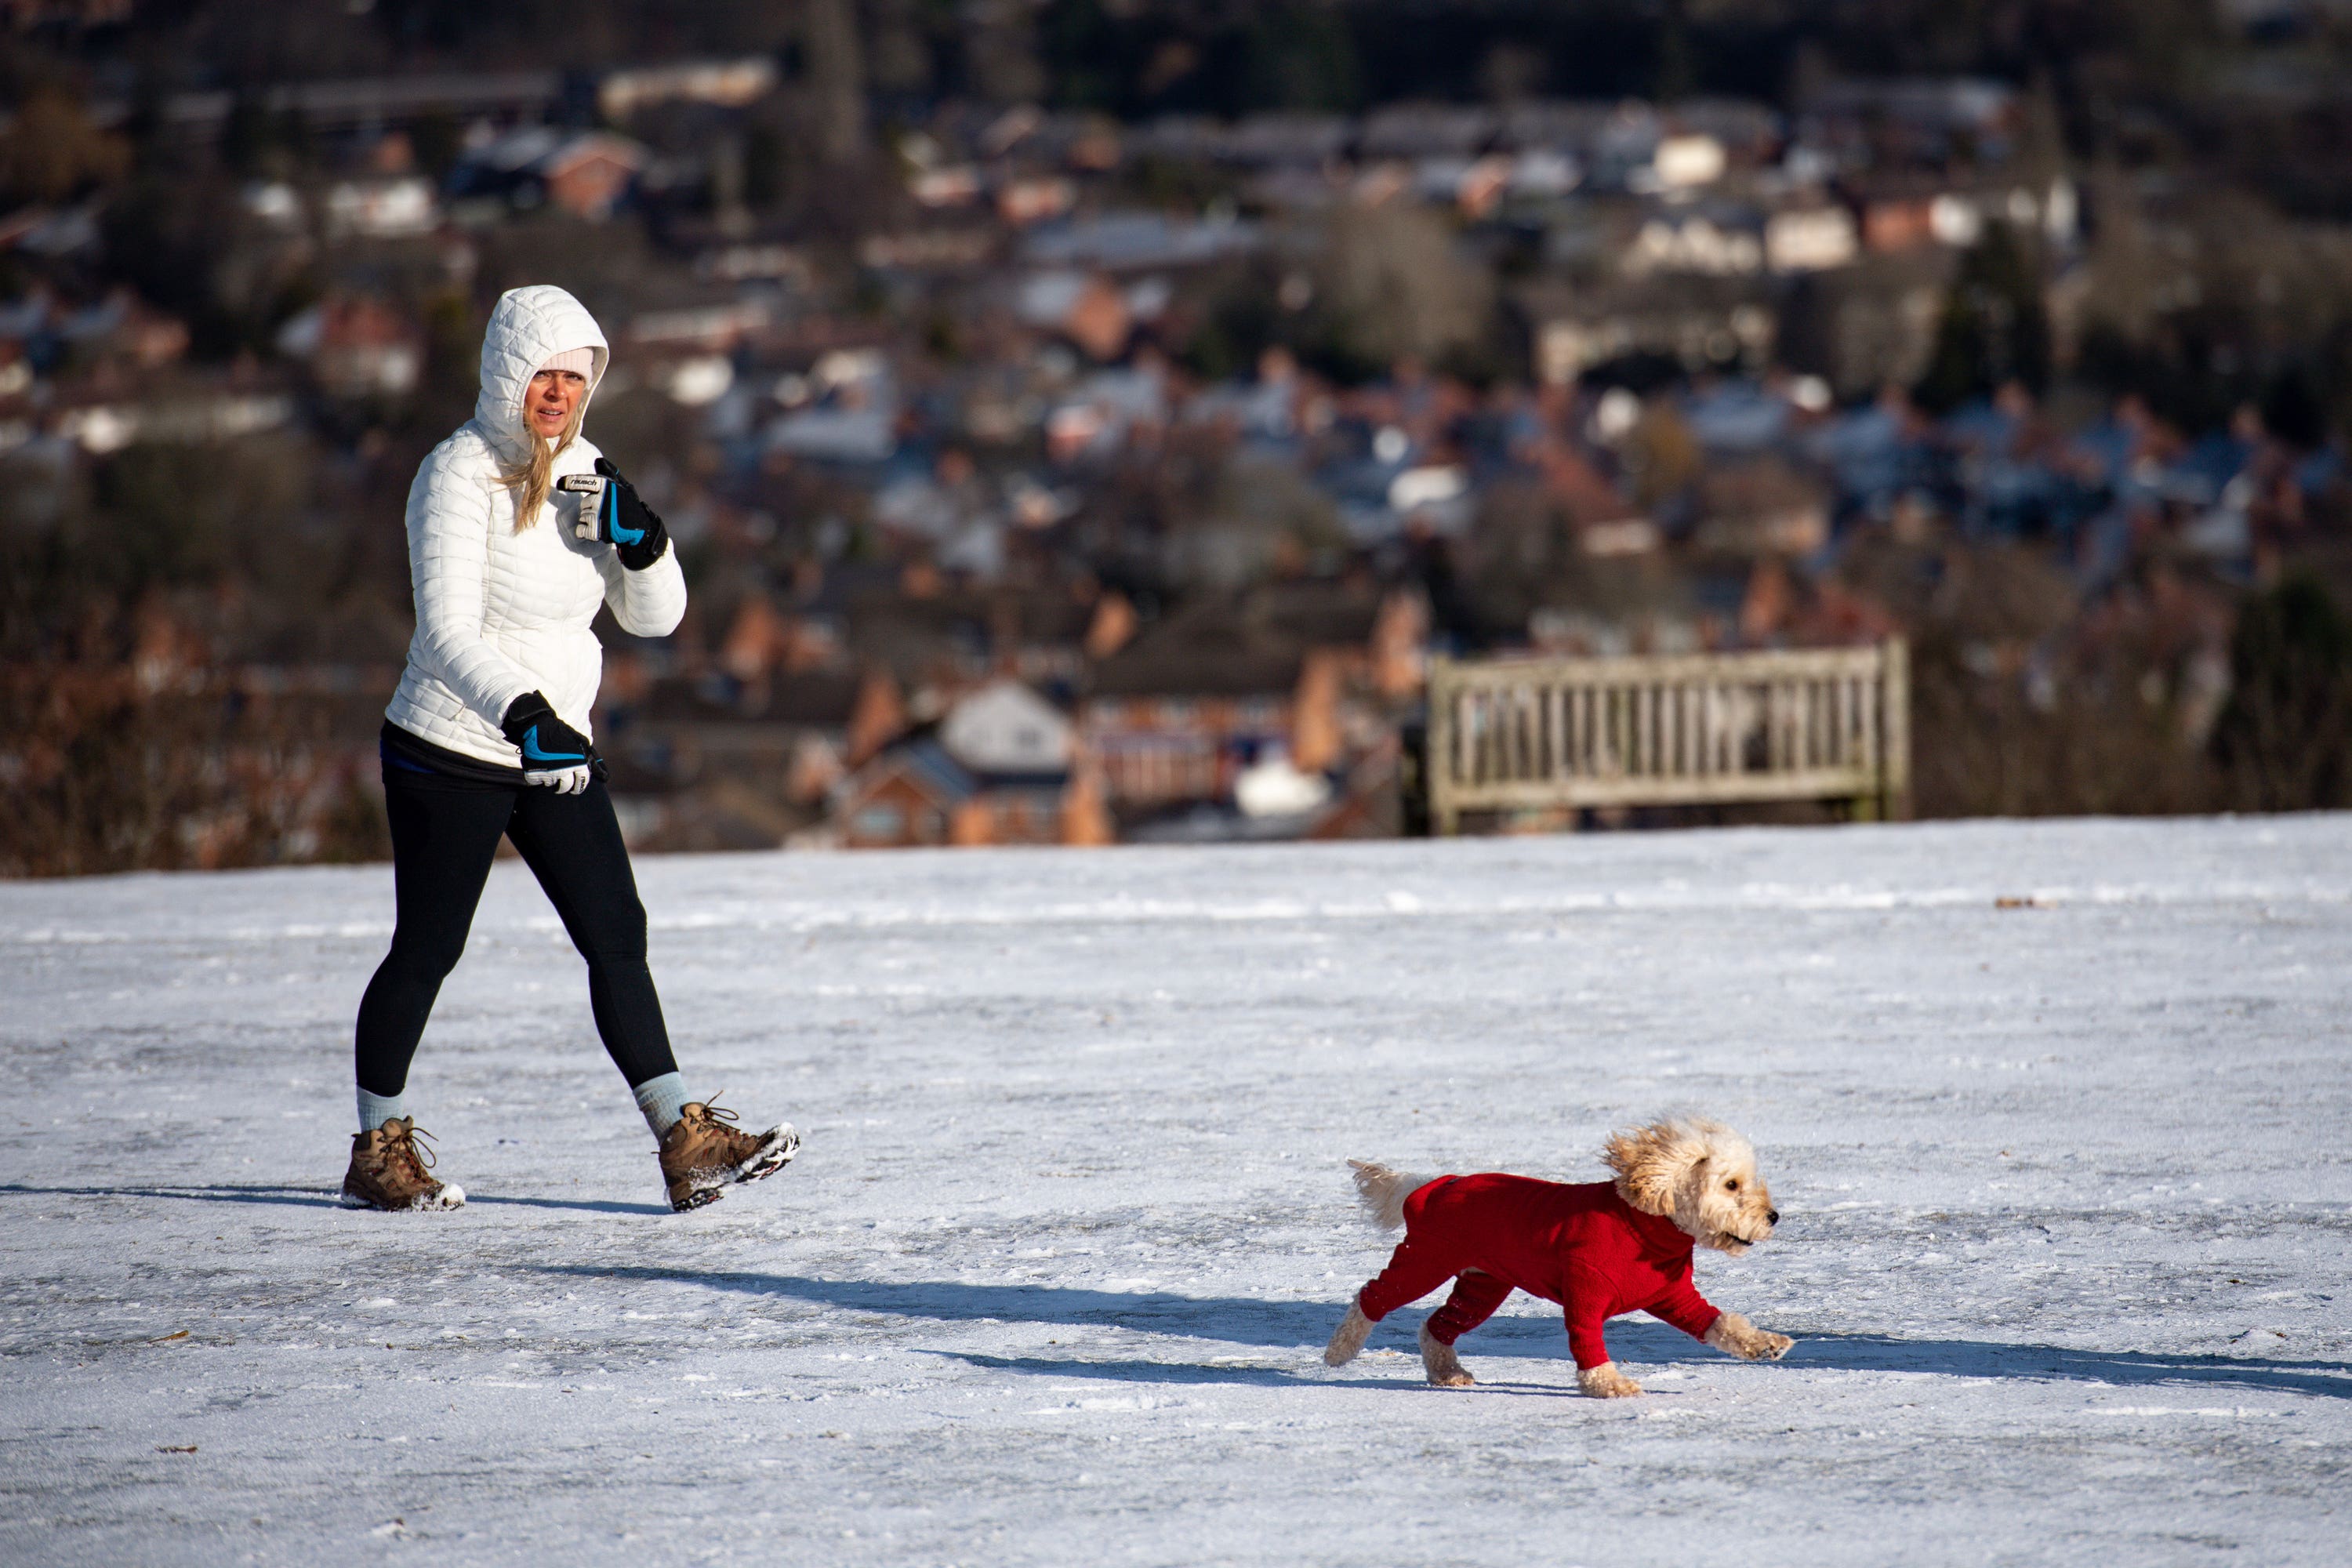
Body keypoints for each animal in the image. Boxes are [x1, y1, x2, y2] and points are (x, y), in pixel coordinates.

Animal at [1317, 1114, 1788, 1401]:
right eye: (1731, 1184)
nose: (1773, 1216)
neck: (1646, 1221)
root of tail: (1437, 1184)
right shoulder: (1586, 1290)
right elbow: (1587, 1342)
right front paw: (1608, 1384)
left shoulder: (1674, 1296)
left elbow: (1719, 1322)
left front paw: (1764, 1343)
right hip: (1425, 1261)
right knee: (1372, 1296)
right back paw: (1339, 1351)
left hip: (1482, 1284)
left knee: (1437, 1326)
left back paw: (1447, 1373)